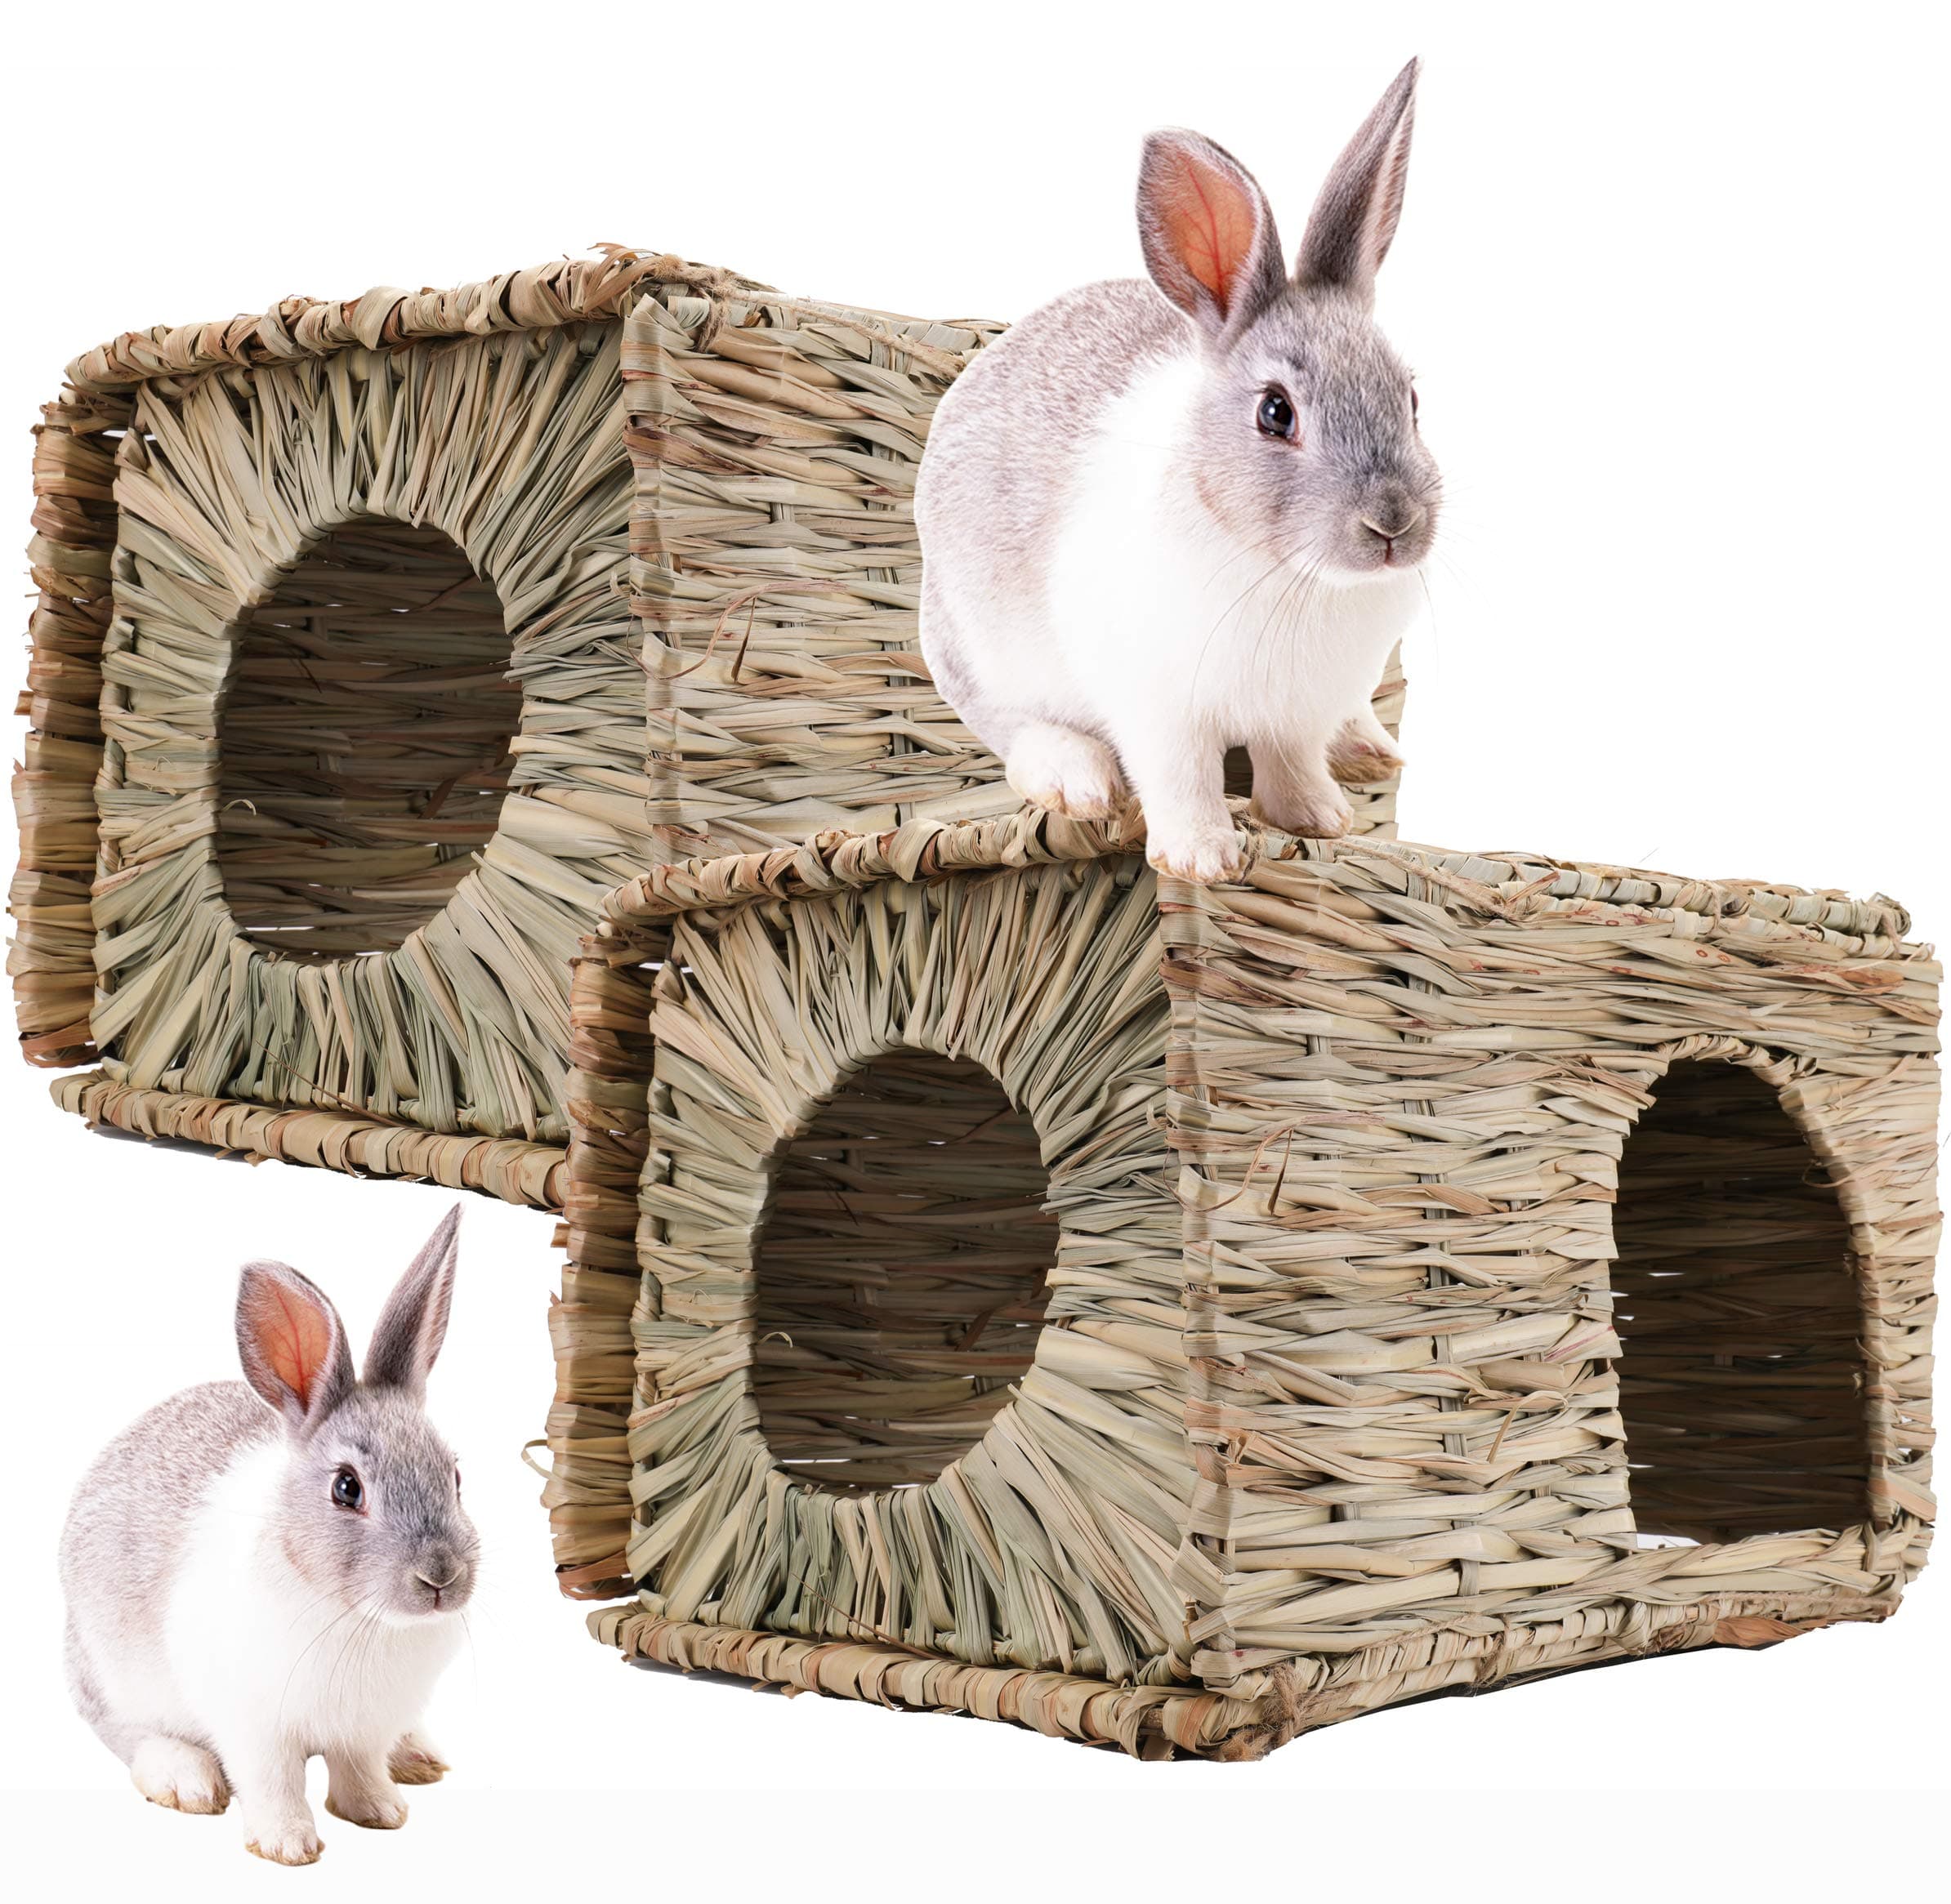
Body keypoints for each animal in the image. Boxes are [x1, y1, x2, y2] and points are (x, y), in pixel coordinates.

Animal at [58, 1205, 477, 1866]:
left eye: (456, 1476)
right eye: (347, 1488)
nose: (441, 1576)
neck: (358, 1618)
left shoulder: (364, 1728)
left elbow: (359, 1769)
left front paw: (381, 1812)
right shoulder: (253, 1725)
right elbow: (272, 1780)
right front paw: (288, 1845)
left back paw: (417, 1756)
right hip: (111, 1676)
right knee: (128, 1733)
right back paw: (185, 1778)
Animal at [916, 59, 1440, 883]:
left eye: (1412, 399)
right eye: (1275, 413)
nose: (1393, 524)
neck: (1291, 575)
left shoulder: (1296, 713)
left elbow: (1291, 763)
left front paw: (1319, 819)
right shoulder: (1160, 710)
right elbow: (1181, 777)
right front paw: (1201, 859)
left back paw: (1368, 750)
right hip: (976, 650)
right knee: (1011, 727)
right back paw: (1076, 781)